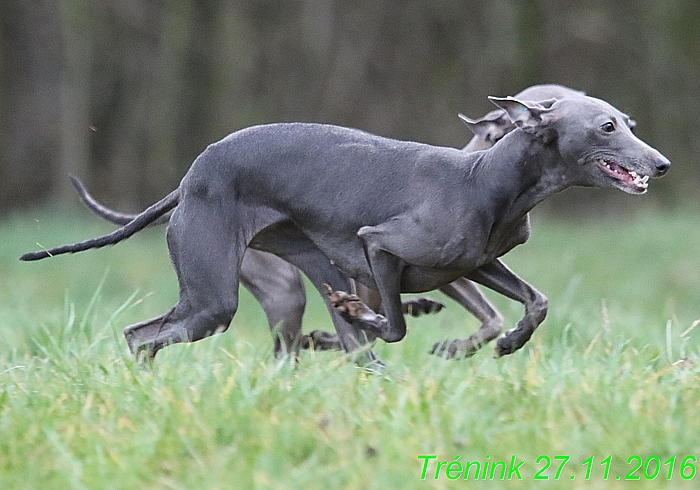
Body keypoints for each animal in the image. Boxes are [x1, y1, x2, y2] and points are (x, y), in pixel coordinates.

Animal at [20, 94, 668, 364]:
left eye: (628, 122)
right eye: (607, 126)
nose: (660, 164)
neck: (486, 177)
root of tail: (190, 177)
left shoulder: (476, 263)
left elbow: (535, 302)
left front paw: (509, 342)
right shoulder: (379, 246)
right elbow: (397, 324)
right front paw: (378, 320)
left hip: (300, 265)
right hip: (215, 297)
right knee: (142, 336)